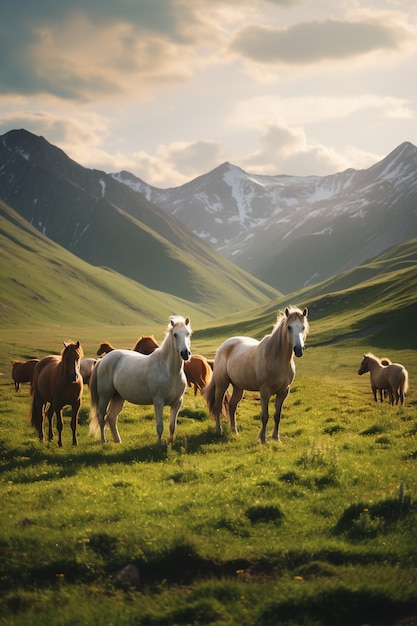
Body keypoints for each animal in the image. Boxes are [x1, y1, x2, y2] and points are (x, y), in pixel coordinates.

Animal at [89, 316, 192, 444]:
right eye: (175, 334)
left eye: (188, 334)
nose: (185, 353)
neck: (170, 371)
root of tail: (102, 360)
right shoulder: (158, 402)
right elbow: (159, 426)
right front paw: (159, 445)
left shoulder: (177, 403)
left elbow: (172, 427)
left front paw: (170, 443)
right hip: (105, 396)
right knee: (101, 416)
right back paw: (104, 442)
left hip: (118, 397)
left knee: (111, 417)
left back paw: (118, 442)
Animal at [203, 304, 308, 442]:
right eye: (289, 327)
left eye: (303, 327)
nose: (299, 350)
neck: (277, 358)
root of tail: (223, 346)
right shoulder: (265, 392)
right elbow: (265, 416)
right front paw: (263, 439)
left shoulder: (283, 392)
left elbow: (277, 415)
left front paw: (276, 438)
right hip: (222, 385)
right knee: (218, 406)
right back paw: (219, 431)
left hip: (238, 387)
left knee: (232, 406)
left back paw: (234, 431)